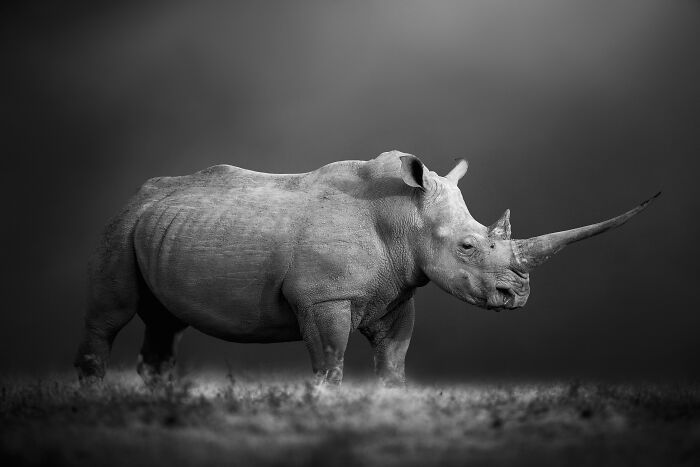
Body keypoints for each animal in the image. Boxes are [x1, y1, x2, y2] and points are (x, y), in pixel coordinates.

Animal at [74, 150, 658, 386]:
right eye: (469, 246)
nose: (517, 297)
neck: (405, 217)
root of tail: (138, 195)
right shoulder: (324, 297)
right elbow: (330, 361)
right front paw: (326, 401)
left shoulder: (398, 292)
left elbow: (394, 360)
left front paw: (389, 400)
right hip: (120, 226)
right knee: (111, 314)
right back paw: (95, 395)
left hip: (160, 228)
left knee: (165, 324)